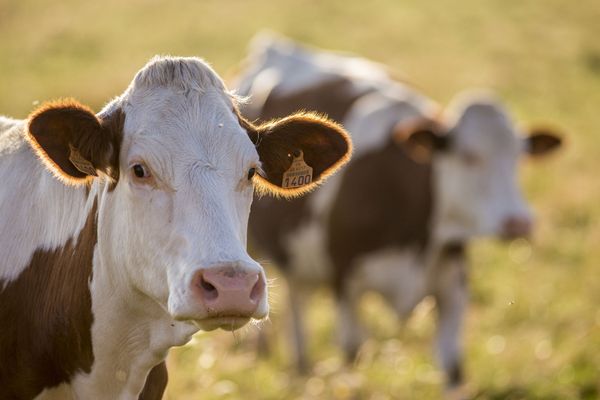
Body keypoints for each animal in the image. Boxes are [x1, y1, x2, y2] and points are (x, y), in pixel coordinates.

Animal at [234, 33, 564, 394]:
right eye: (467, 156)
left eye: (519, 157)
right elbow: (352, 357)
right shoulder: (344, 282)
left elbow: (453, 366)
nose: (519, 222)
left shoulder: (453, 284)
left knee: (297, 297)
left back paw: (302, 364)